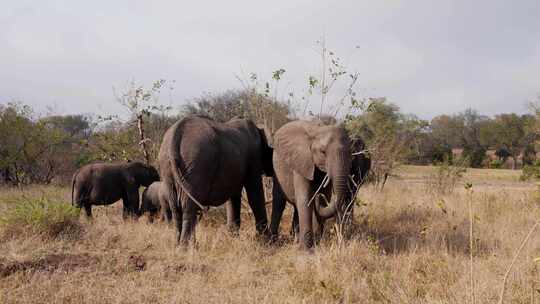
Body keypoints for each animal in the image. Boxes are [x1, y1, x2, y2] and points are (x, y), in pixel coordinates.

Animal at [158, 115, 272, 246]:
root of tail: (174, 137)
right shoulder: (254, 156)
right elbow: (255, 194)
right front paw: (266, 241)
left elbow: (233, 198)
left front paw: (232, 238)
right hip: (195, 165)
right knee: (188, 207)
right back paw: (187, 247)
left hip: (168, 168)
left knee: (176, 208)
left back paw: (179, 245)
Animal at [270, 120, 354, 251]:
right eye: (323, 152)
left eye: (350, 153)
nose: (317, 196)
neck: (317, 131)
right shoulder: (302, 161)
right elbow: (305, 198)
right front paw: (306, 250)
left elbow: (325, 198)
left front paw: (318, 243)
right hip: (277, 169)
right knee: (279, 202)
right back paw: (273, 241)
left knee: (296, 206)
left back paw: (295, 238)